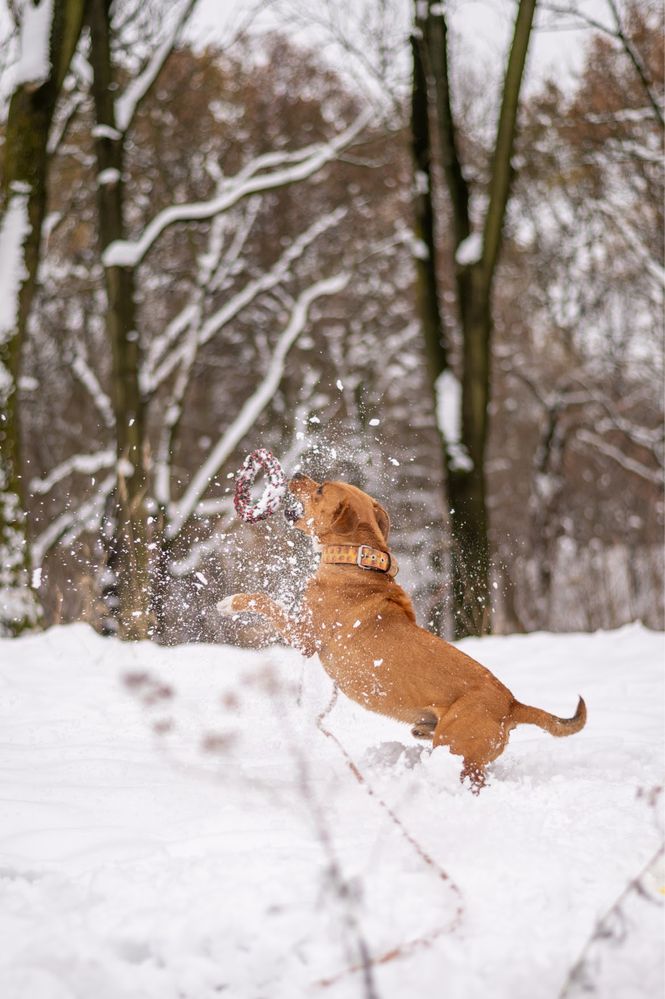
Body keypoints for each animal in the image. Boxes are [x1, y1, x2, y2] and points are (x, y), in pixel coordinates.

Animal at [219, 476, 588, 788]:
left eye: (321, 489)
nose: (296, 475)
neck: (355, 562)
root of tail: (512, 704)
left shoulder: (304, 636)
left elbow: (264, 600)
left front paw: (229, 602)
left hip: (457, 750)